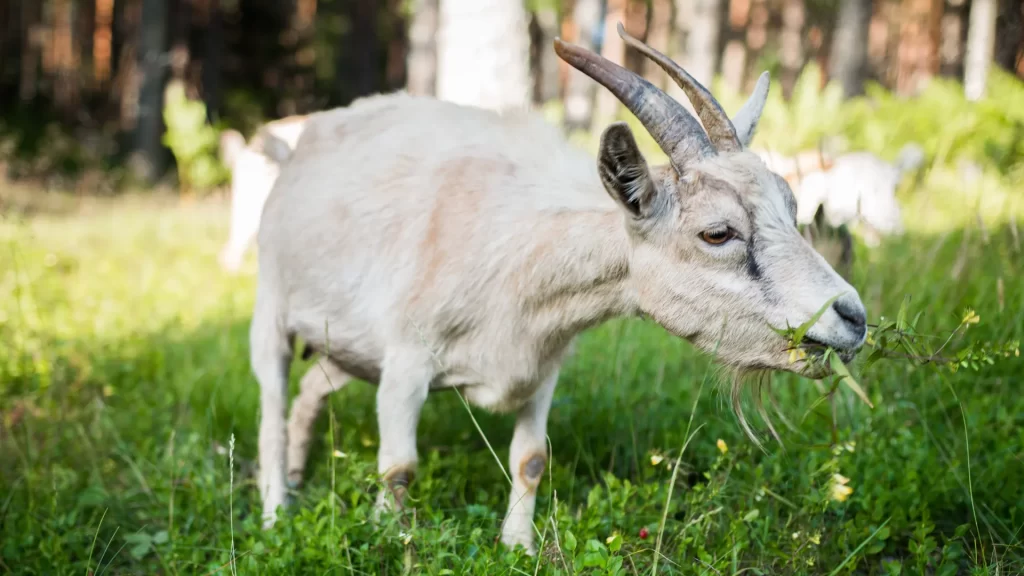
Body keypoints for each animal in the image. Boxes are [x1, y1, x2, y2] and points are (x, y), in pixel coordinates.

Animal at [251, 24, 868, 553]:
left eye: (792, 208)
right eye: (717, 232)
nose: (853, 318)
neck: (520, 249)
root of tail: (297, 149)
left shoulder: (542, 365)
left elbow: (530, 459)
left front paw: (518, 547)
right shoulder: (406, 362)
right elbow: (399, 467)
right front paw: (390, 541)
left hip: (345, 345)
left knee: (311, 390)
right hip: (272, 307)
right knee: (273, 405)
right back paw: (276, 511)